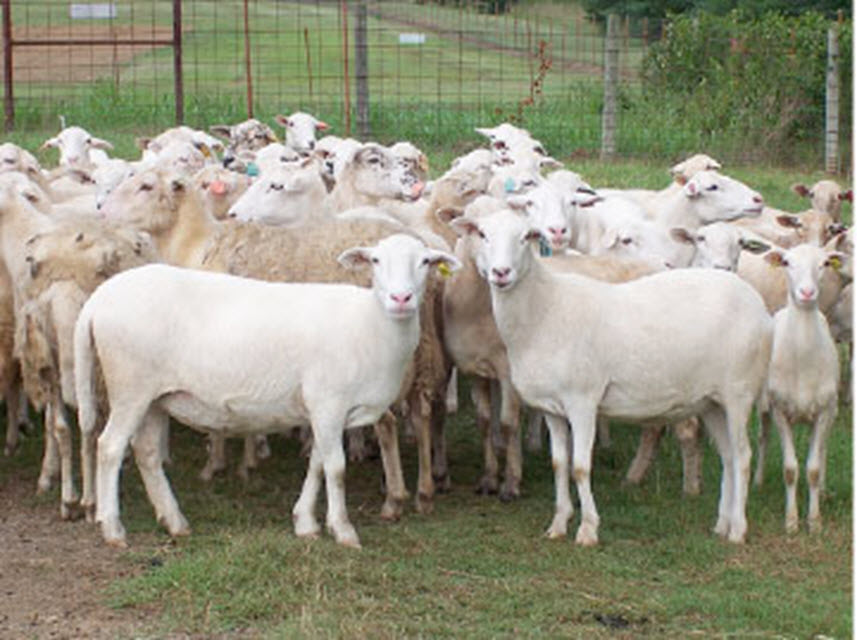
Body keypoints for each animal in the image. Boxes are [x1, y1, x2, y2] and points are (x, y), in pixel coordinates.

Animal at [74, 235, 459, 548]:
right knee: (109, 447)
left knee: (147, 453)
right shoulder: (328, 403)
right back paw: (113, 529)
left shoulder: (321, 411)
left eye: (425, 261)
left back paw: (175, 522)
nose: (401, 298)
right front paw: (343, 529)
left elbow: (318, 464)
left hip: (155, 397)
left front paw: (305, 523)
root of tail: (99, 299)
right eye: (376, 261)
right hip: (130, 386)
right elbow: (335, 467)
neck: (369, 324)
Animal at [452, 209, 772, 545]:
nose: (501, 273)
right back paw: (722, 524)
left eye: (526, 236)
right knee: (728, 457)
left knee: (743, 456)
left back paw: (738, 529)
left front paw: (588, 529)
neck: (546, 309)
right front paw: (558, 524)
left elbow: (580, 467)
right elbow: (559, 464)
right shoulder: (551, 408)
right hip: (711, 401)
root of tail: (755, 301)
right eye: (482, 234)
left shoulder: (582, 401)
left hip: (739, 392)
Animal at [753, 244, 842, 533]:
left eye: (824, 263)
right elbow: (790, 469)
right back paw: (757, 480)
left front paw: (814, 521)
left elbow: (812, 469)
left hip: (832, 410)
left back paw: (823, 490)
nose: (806, 293)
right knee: (763, 437)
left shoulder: (824, 411)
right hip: (764, 406)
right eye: (787, 263)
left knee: (823, 447)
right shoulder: (780, 411)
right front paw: (791, 522)